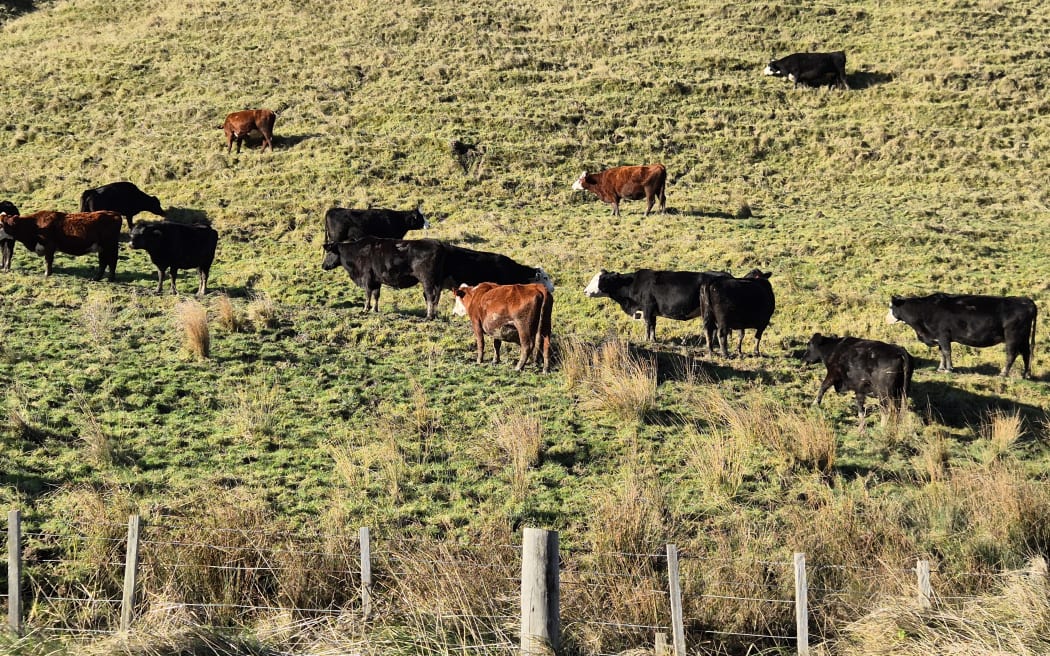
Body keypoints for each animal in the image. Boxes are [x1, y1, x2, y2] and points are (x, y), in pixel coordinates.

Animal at [583, 268, 730, 342]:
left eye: (601, 279)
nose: (585, 291)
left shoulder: (647, 307)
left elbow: (647, 323)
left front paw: (646, 339)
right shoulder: (652, 311)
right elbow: (653, 325)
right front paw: (653, 339)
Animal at [881, 293, 1037, 377]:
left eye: (890, 307)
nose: (885, 320)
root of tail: (1026, 300)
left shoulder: (943, 335)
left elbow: (946, 352)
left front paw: (949, 369)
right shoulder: (939, 337)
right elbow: (942, 353)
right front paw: (941, 368)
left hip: (1013, 336)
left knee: (1012, 354)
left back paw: (1003, 373)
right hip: (1023, 337)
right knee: (1026, 353)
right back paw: (1026, 374)